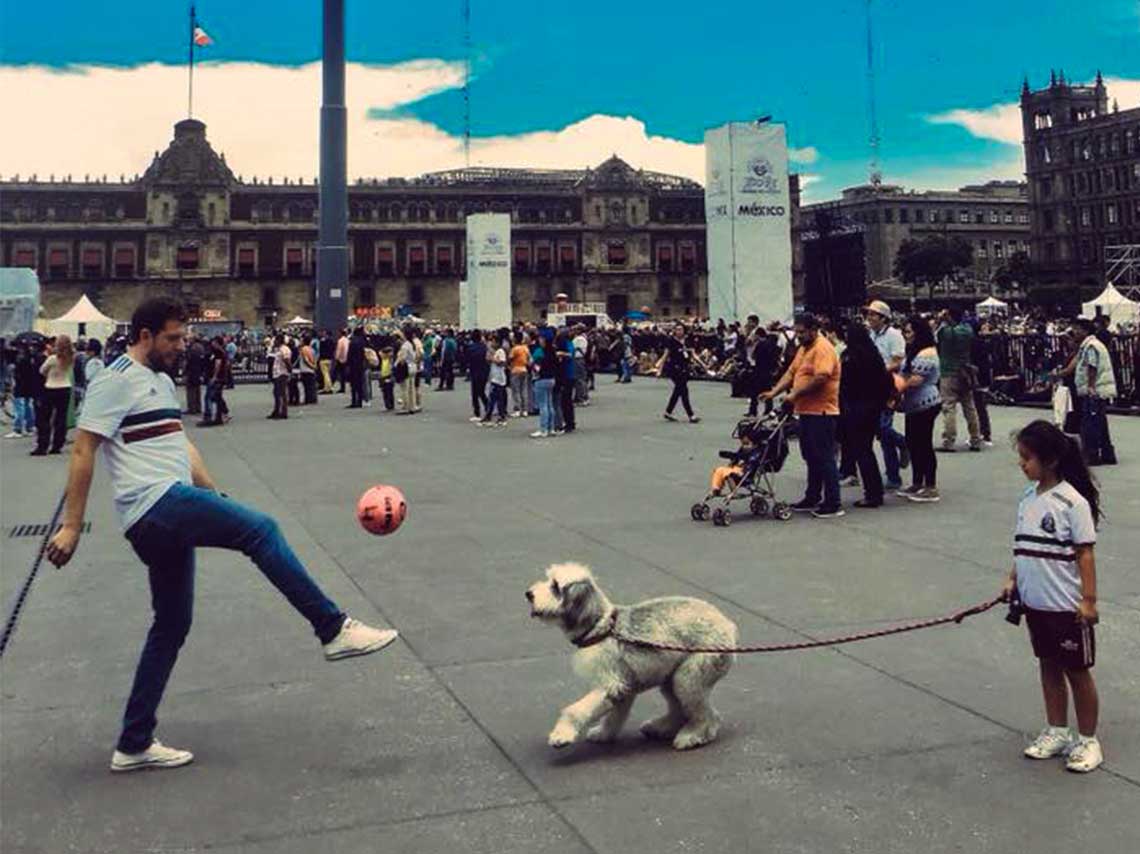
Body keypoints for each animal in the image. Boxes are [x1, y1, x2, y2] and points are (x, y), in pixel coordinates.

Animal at [526, 563, 738, 747]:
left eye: (555, 586)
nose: (528, 594)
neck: (601, 627)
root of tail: (728, 626)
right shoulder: (624, 686)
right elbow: (615, 716)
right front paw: (603, 733)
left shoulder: (610, 683)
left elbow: (576, 710)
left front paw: (561, 735)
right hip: (670, 679)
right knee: (678, 709)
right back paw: (660, 727)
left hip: (689, 677)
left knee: (707, 715)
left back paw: (693, 735)